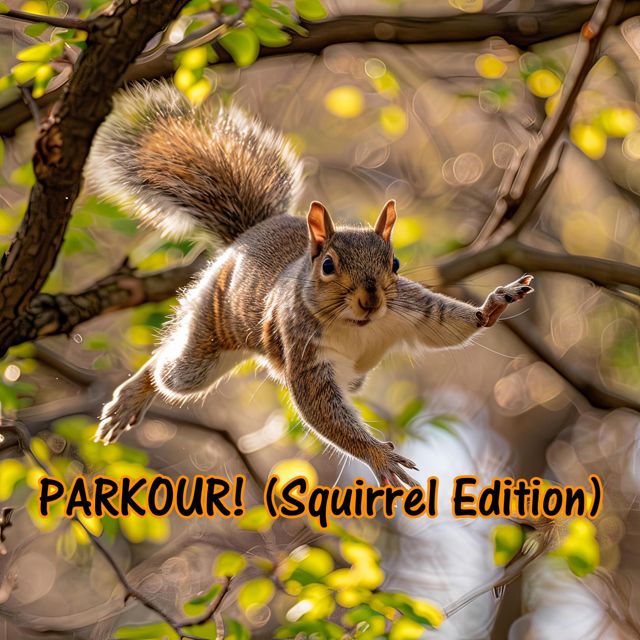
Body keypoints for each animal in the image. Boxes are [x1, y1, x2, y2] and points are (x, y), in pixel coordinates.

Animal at [86, 81, 534, 487]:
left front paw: (495, 304)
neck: (357, 325)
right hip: (209, 336)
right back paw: (133, 395)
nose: (371, 300)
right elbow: (319, 408)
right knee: (170, 371)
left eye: (395, 263)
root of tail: (250, 235)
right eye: (329, 265)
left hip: (352, 374)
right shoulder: (303, 349)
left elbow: (445, 325)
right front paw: (377, 455)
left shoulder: (410, 309)